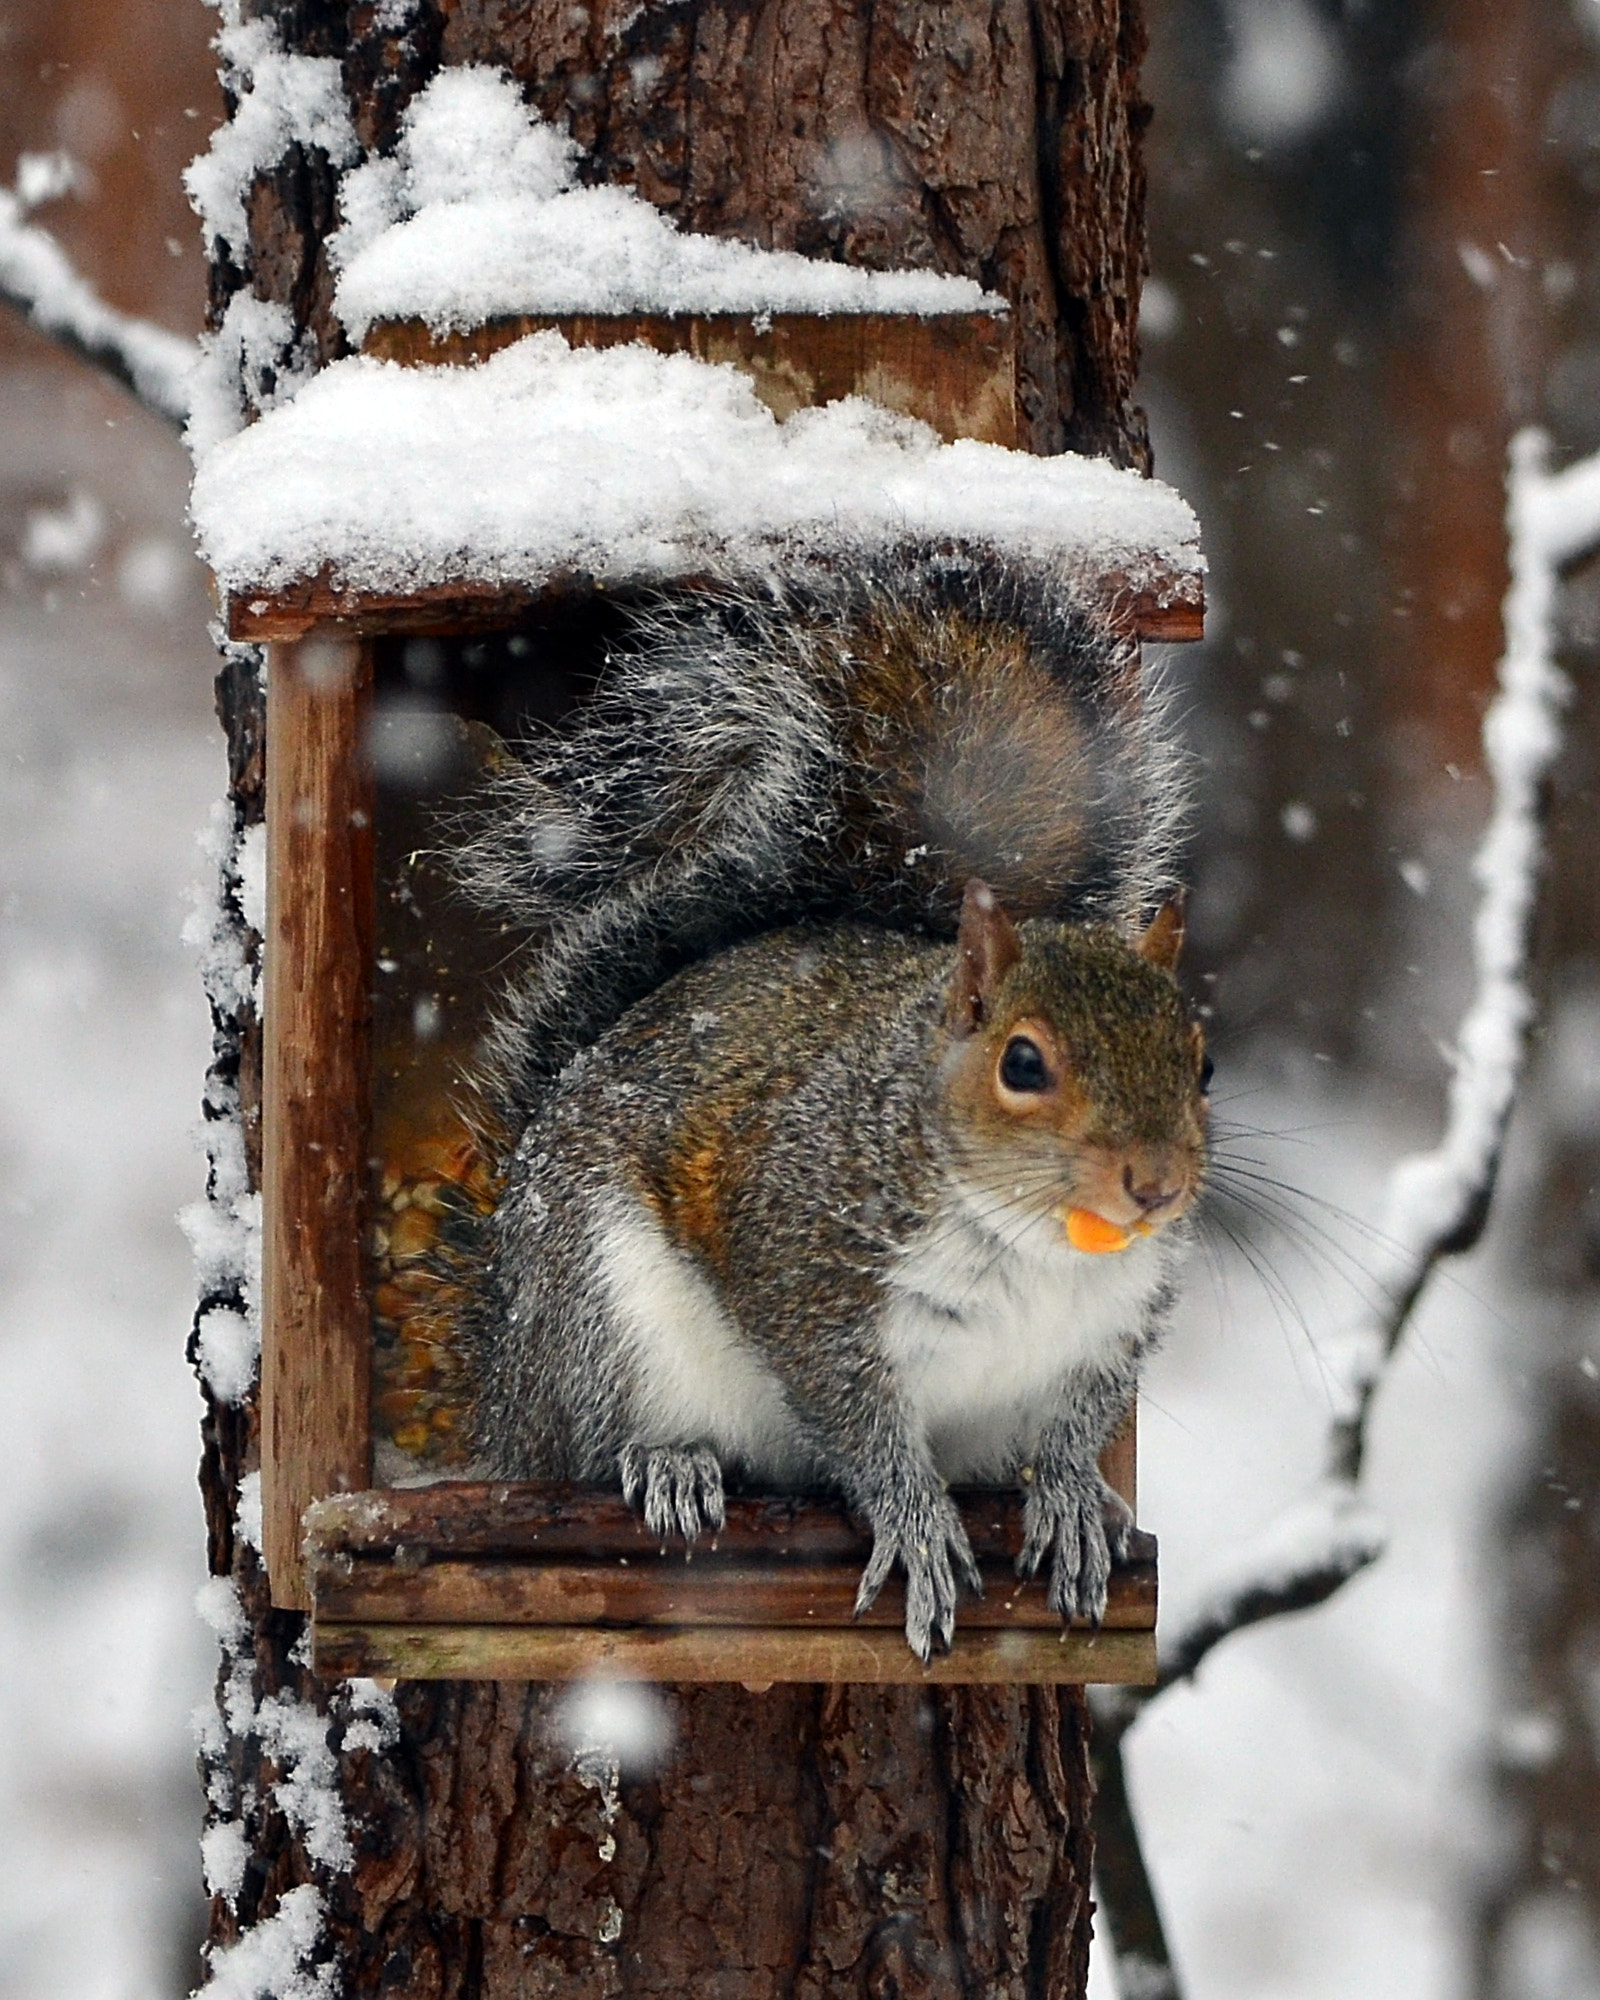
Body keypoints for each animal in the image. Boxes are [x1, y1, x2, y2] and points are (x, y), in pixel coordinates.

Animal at [450, 550, 1208, 1660]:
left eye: (1202, 1062)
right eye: (1023, 1063)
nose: (1154, 1184)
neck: (1037, 1242)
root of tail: (503, 1386)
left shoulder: (1110, 1329)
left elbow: (1076, 1427)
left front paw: (1071, 1495)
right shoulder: (805, 1260)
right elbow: (854, 1418)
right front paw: (917, 1521)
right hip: (602, 1310)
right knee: (595, 1437)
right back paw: (668, 1461)